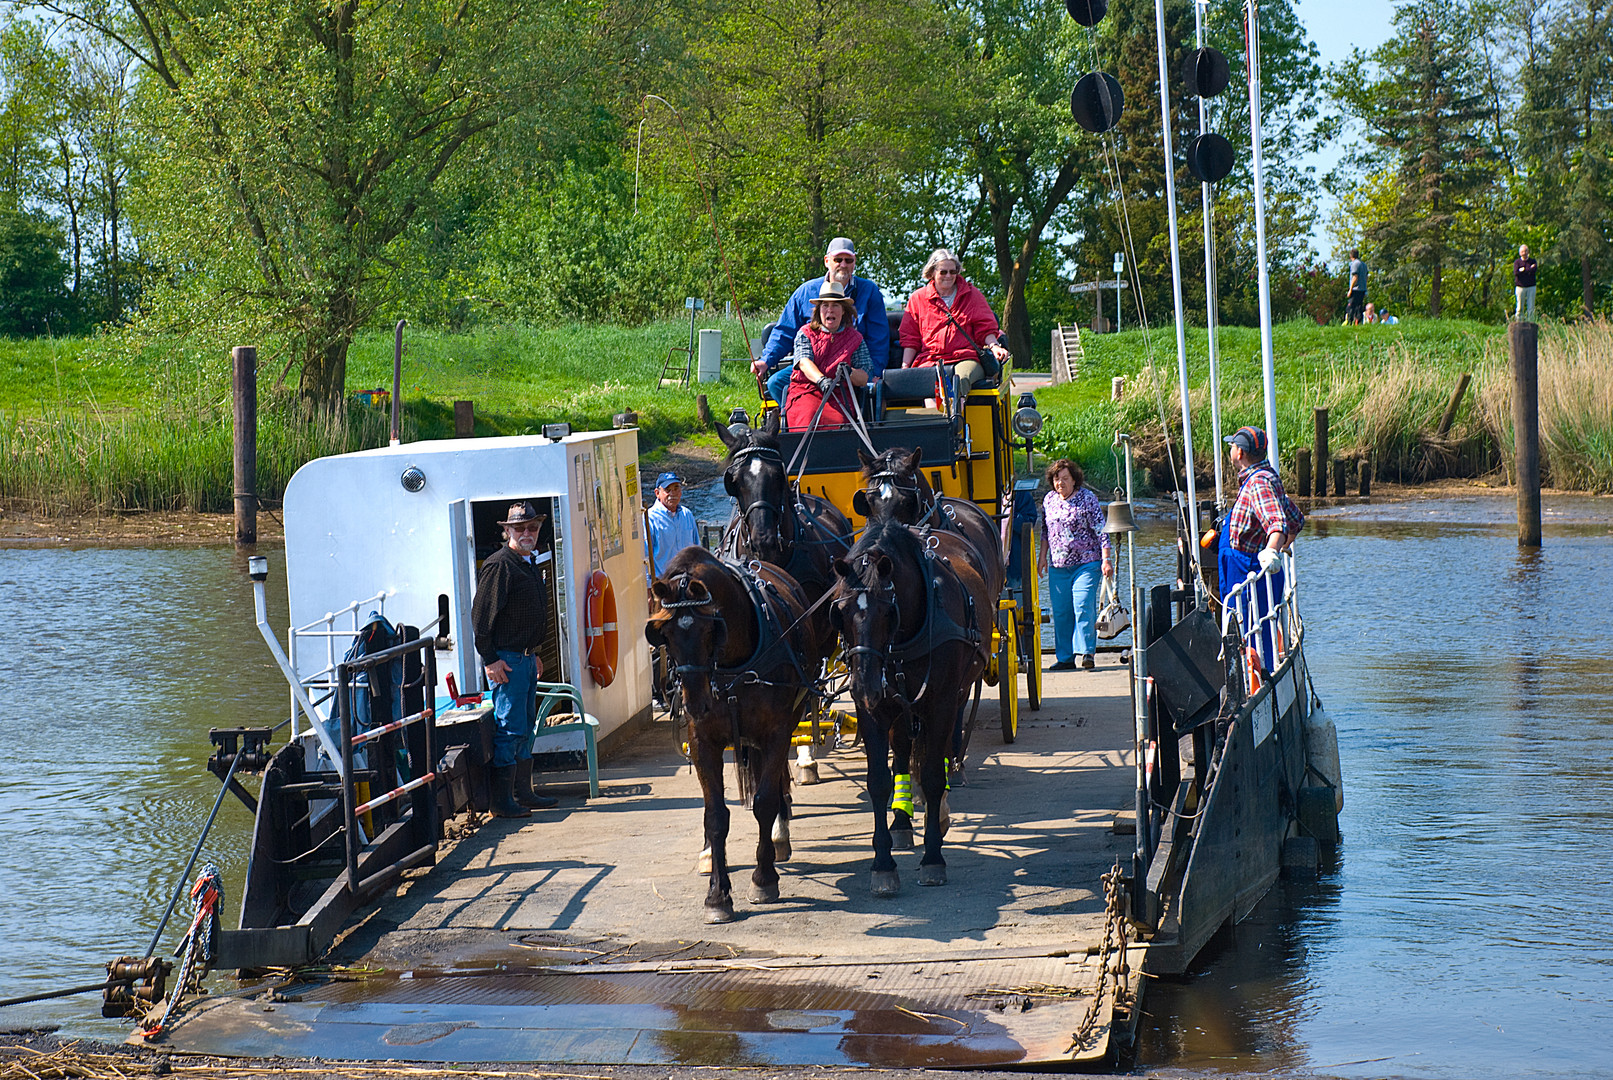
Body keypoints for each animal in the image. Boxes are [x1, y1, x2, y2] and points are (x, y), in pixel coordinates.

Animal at [645, 551, 825, 922]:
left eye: (711, 630)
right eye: (664, 633)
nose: (696, 703)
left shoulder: (777, 732)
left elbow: (764, 801)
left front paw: (764, 879)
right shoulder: (703, 741)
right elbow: (715, 816)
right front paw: (717, 895)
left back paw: (779, 835)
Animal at [832, 519, 993, 896]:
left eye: (888, 611)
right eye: (840, 612)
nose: (863, 685)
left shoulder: (942, 701)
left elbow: (933, 775)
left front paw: (933, 857)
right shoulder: (873, 710)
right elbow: (879, 780)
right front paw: (883, 864)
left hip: (956, 694)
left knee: (944, 749)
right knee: (904, 751)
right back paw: (903, 821)